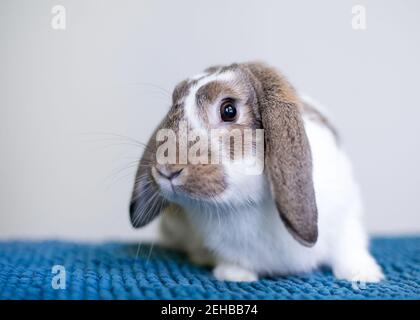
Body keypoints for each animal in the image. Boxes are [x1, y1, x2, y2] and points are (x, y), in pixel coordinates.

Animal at [129, 62, 384, 282]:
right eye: (172, 109)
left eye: (229, 110)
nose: (166, 169)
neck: (245, 204)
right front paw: (234, 275)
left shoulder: (347, 217)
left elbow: (349, 246)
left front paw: (364, 274)